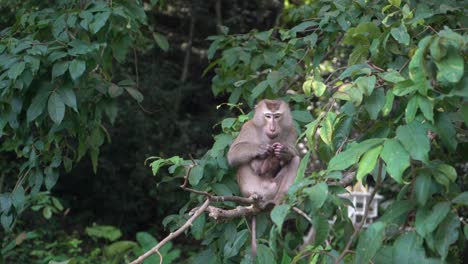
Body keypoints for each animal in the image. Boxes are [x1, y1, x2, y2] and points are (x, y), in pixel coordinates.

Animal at [227, 98, 300, 260]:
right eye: (267, 116)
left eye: (277, 116)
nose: (272, 128)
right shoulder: (248, 127)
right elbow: (233, 154)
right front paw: (260, 149)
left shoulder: (291, 130)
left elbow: (293, 153)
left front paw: (284, 153)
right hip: (252, 188)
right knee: (246, 162)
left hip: (273, 189)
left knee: (296, 160)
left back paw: (277, 201)